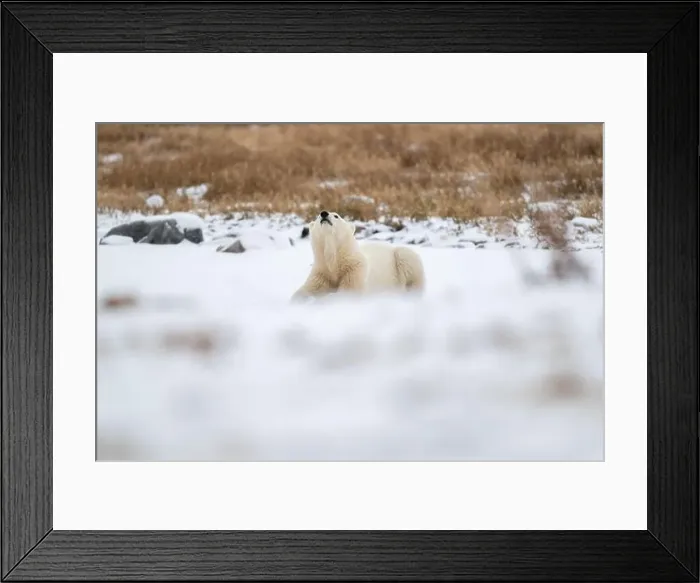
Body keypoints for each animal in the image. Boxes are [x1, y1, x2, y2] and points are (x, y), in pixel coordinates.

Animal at [291, 210, 425, 301]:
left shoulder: (354, 268)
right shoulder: (321, 272)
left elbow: (348, 291)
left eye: (336, 215)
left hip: (400, 258)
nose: (324, 213)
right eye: (318, 216)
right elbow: (308, 289)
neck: (336, 261)